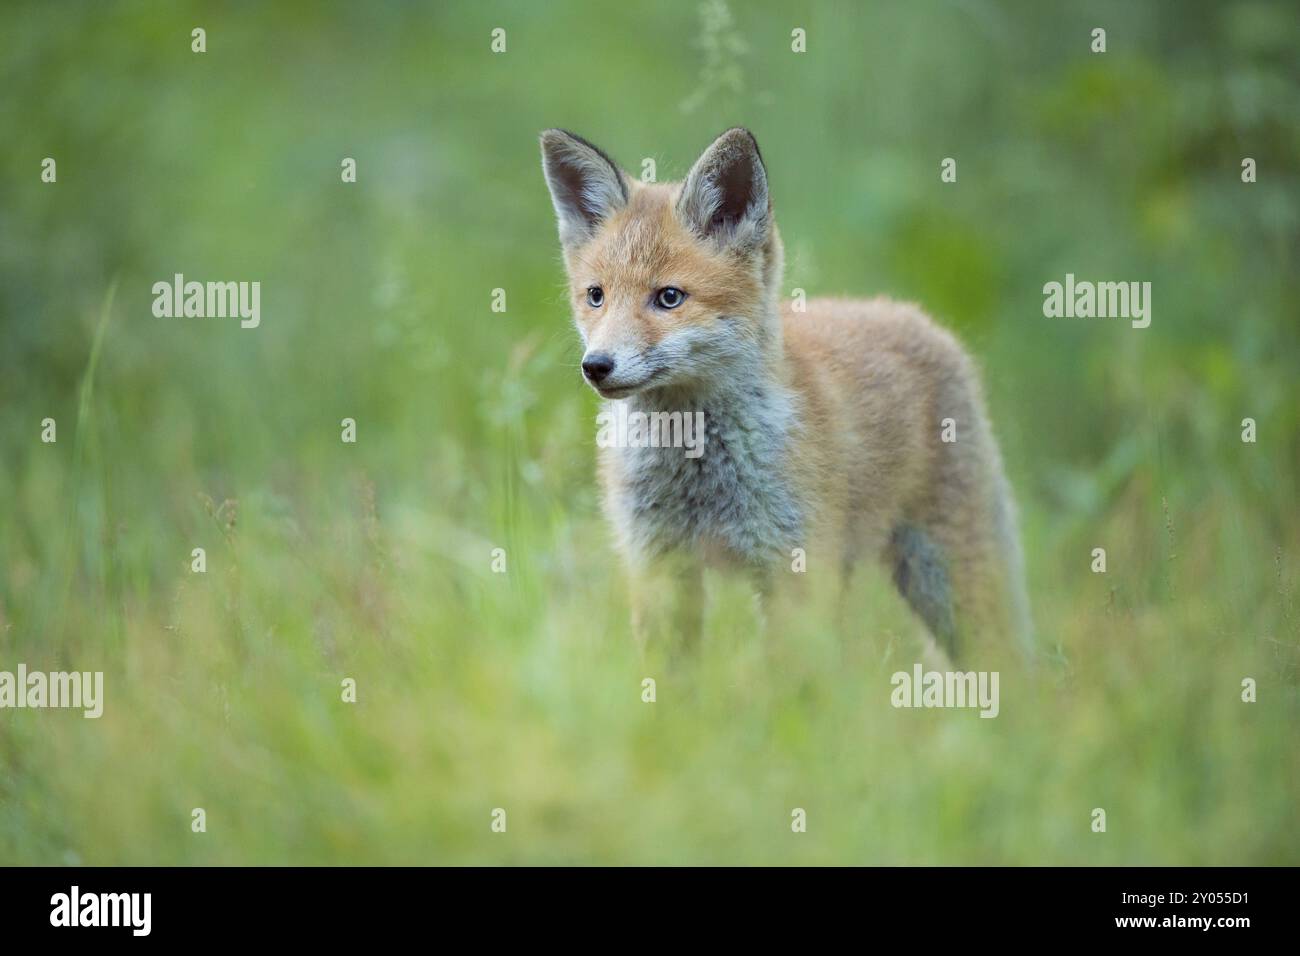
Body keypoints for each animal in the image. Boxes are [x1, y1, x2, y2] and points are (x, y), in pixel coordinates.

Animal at [538, 127, 1024, 660]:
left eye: (669, 298)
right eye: (596, 296)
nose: (596, 366)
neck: (695, 465)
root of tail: (916, 316)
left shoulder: (793, 568)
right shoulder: (659, 565)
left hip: (950, 583)